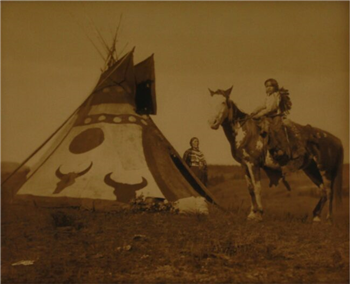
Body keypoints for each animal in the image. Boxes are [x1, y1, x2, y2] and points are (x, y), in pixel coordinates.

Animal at [209, 86, 344, 222]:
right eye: (211, 101)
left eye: (223, 102)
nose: (212, 122)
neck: (247, 132)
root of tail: (337, 140)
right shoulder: (244, 165)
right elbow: (250, 188)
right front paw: (252, 213)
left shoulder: (253, 164)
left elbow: (257, 188)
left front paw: (259, 214)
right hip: (311, 169)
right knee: (323, 191)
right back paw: (316, 217)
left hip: (325, 170)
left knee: (329, 191)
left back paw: (328, 219)